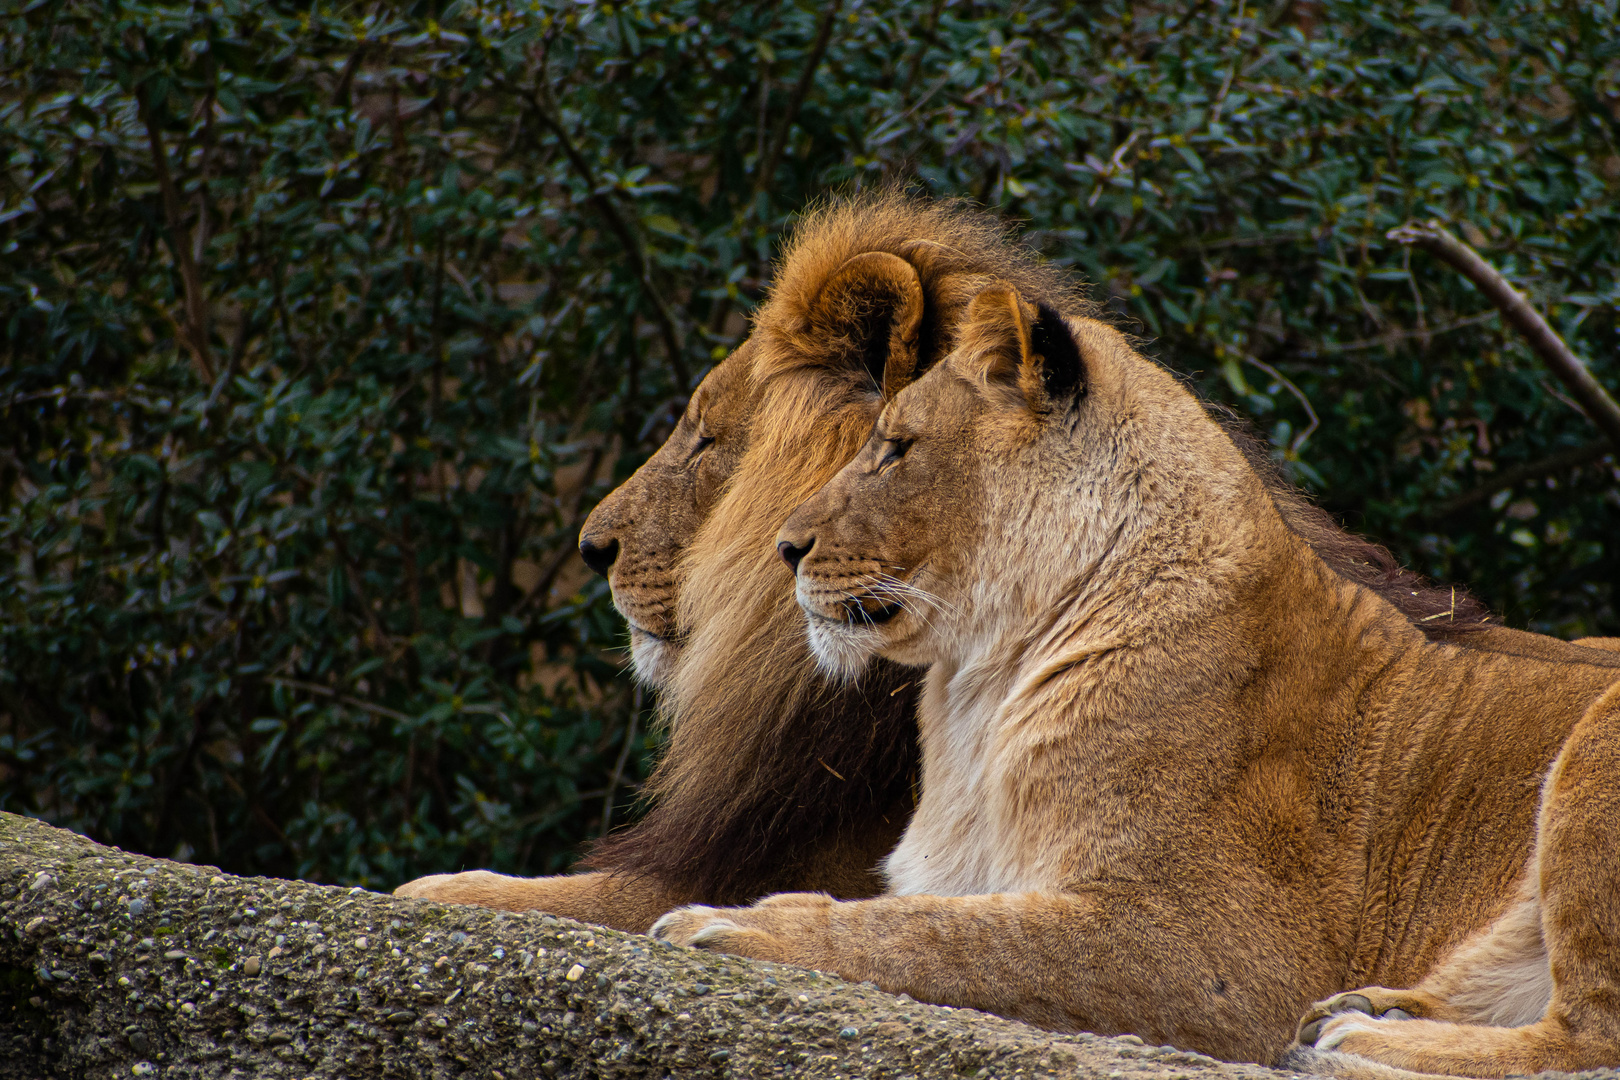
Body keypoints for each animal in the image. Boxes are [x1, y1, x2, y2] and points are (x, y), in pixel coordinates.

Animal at [651, 281, 1620, 1075]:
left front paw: (736, 922)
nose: (786, 548)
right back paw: (1371, 1008)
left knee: (1585, 1039)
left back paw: (1359, 1041)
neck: (980, 692)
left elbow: (945, 938)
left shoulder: (1216, 950)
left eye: (895, 448)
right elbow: (931, 916)